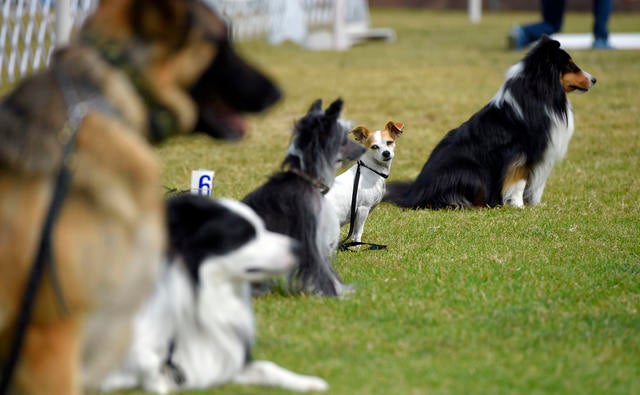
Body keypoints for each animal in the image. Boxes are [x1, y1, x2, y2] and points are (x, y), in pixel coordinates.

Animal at [242, 99, 364, 296]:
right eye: (343, 139)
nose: (363, 148)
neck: (305, 177)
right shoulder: (309, 236)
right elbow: (320, 268)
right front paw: (335, 292)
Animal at [380, 36, 596, 210]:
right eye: (570, 65)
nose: (594, 79)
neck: (538, 93)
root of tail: (414, 193)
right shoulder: (520, 154)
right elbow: (520, 181)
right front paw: (518, 206)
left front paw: (533, 204)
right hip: (470, 171)